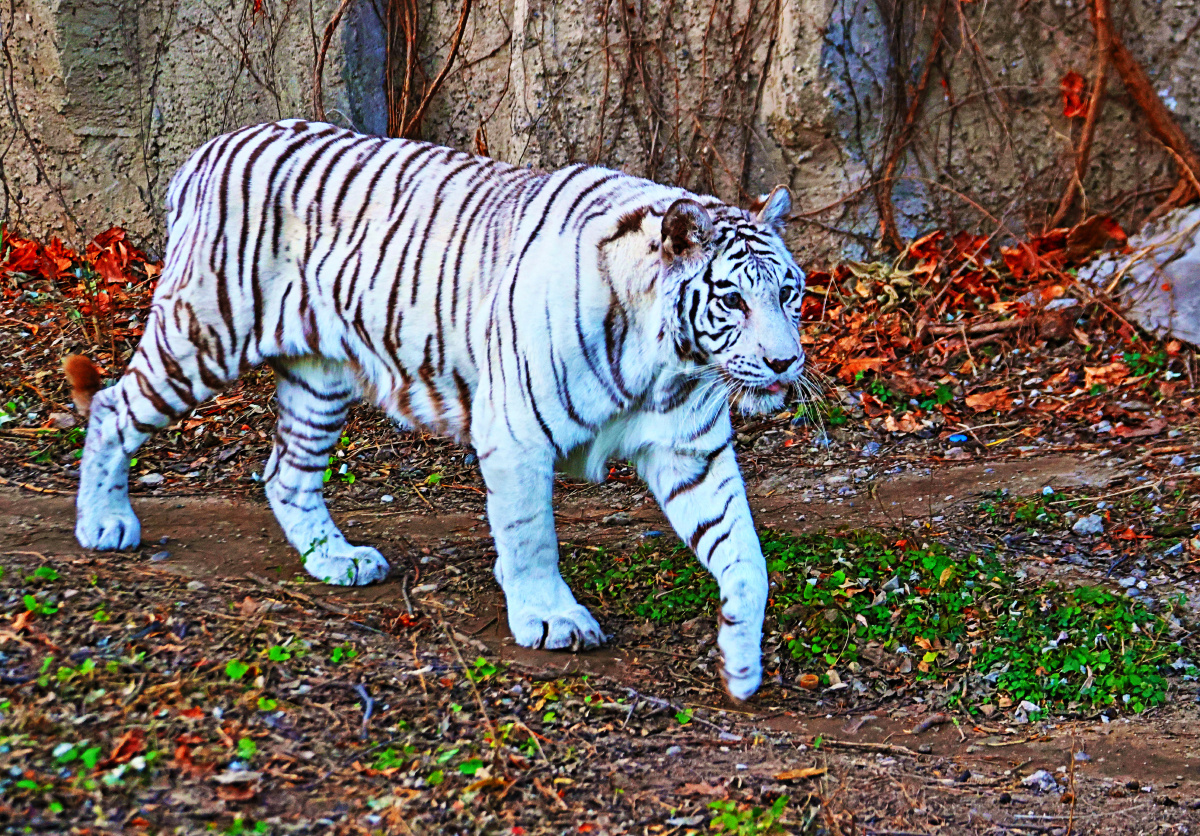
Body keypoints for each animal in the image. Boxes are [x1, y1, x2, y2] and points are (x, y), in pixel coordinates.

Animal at [67, 119, 806, 700]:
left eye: (790, 293)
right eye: (733, 299)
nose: (785, 363)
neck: (667, 362)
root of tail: (208, 149)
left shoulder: (692, 450)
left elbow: (746, 556)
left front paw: (740, 662)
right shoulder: (517, 433)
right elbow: (531, 533)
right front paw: (550, 617)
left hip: (320, 380)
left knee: (285, 473)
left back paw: (336, 561)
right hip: (202, 335)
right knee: (110, 407)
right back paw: (105, 523)